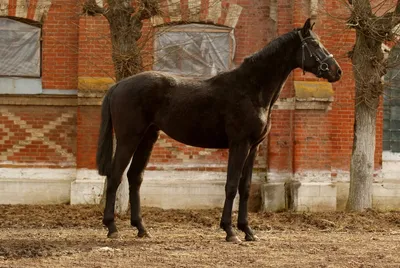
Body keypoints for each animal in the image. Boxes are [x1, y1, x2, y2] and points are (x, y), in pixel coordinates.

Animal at [96, 18, 340, 243]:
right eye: (315, 44)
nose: (337, 71)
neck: (251, 89)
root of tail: (119, 85)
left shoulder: (253, 147)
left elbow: (245, 187)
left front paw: (248, 231)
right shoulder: (239, 144)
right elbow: (231, 185)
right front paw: (230, 231)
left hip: (148, 138)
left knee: (134, 177)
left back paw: (141, 228)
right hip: (129, 139)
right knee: (115, 176)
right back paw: (112, 228)